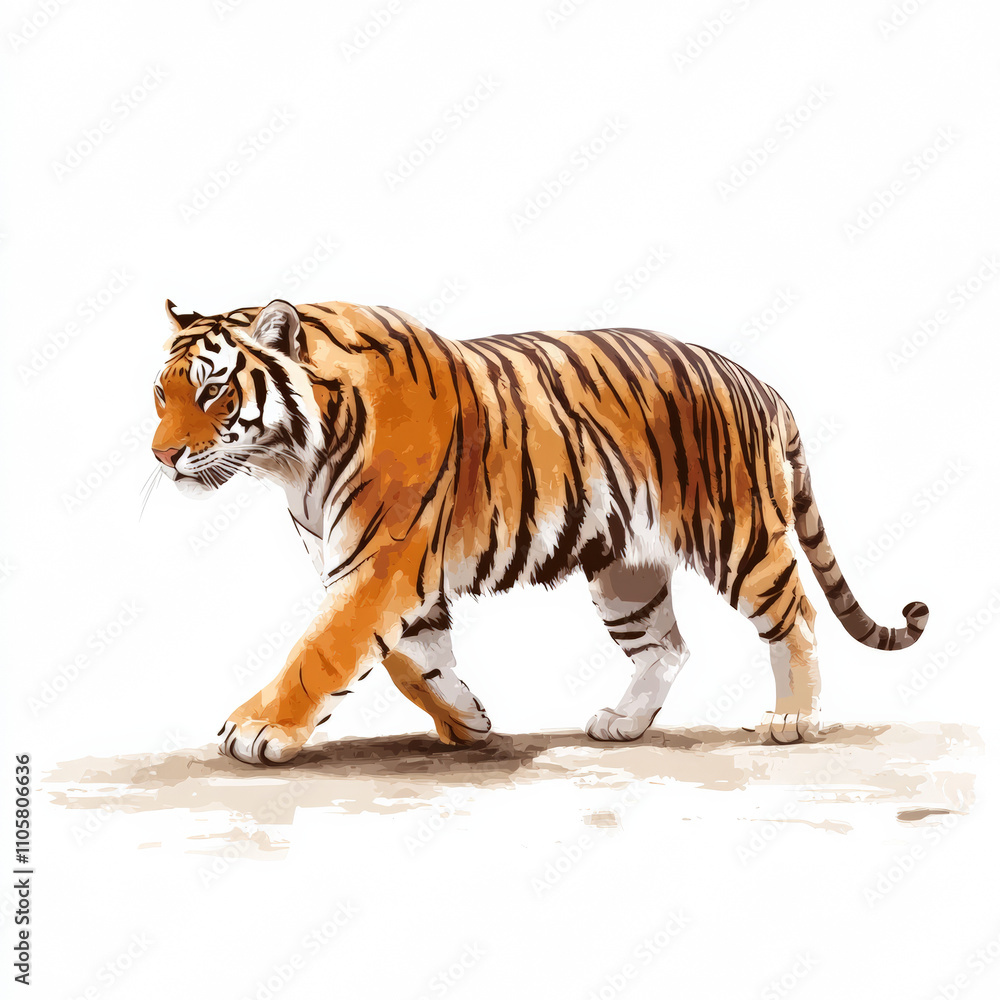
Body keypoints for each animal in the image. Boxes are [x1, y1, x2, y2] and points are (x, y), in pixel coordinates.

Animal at [151, 297, 929, 765]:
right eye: (162, 392)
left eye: (214, 390)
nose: (161, 455)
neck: (292, 459)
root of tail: (759, 384)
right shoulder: (384, 574)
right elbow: (411, 661)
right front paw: (468, 720)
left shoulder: (381, 564)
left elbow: (321, 652)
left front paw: (257, 728)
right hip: (626, 567)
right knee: (668, 646)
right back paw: (624, 723)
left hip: (740, 537)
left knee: (796, 616)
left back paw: (794, 720)